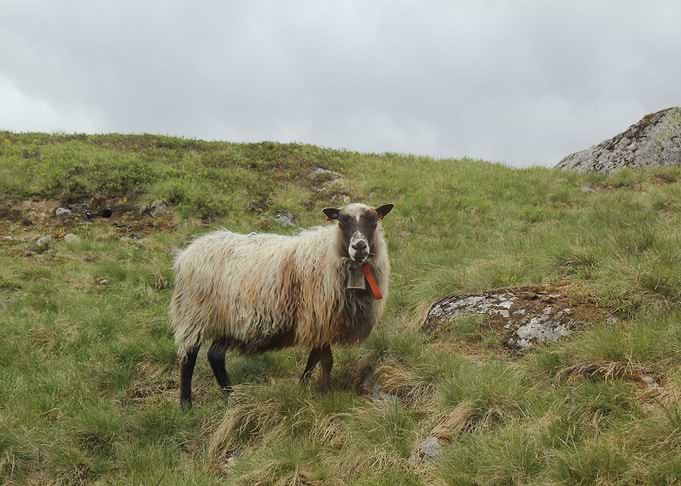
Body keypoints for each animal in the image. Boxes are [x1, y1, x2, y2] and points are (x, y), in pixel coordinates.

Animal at [170, 202, 394, 407]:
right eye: (342, 221)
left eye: (373, 221)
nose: (359, 247)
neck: (331, 254)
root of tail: (186, 254)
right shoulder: (319, 321)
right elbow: (326, 360)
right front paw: (324, 392)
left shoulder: (319, 325)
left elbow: (314, 358)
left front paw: (303, 386)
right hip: (195, 314)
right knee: (188, 359)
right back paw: (186, 405)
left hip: (226, 321)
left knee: (215, 356)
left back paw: (231, 397)